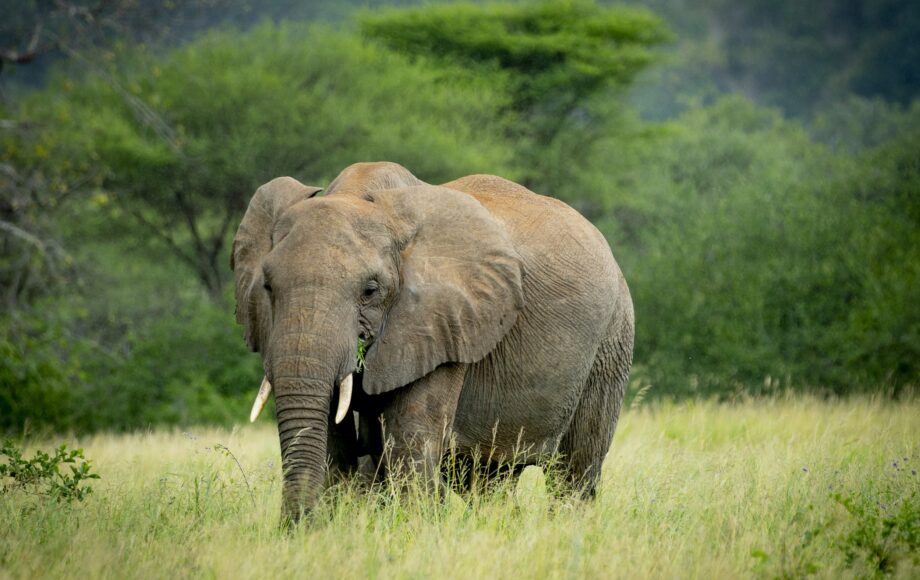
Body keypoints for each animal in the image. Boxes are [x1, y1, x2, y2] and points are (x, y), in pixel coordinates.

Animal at [231, 161, 634, 521]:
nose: (295, 528)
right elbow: (333, 442)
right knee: (489, 481)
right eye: (268, 287)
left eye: (370, 290)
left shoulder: (444, 324)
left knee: (574, 471)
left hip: (611, 340)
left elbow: (410, 440)